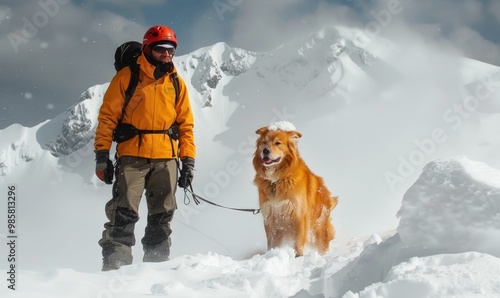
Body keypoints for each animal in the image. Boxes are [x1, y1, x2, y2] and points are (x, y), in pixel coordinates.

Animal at [252, 121, 338, 256]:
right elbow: (272, 243)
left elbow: (298, 241)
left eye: (277, 143)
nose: (265, 150)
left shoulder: (298, 215)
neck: (277, 181)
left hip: (319, 230)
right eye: (264, 142)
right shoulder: (270, 217)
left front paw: (298, 256)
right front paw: (271, 254)